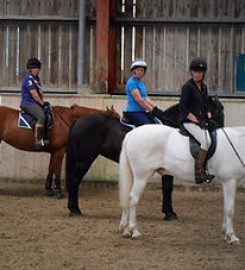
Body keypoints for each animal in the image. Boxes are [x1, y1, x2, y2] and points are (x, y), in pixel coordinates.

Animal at [65, 97, 224, 219]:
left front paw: (168, 212)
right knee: (74, 180)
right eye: (217, 111)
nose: (220, 130)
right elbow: (168, 188)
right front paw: (170, 213)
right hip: (84, 159)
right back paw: (75, 209)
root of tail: (78, 121)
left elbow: (166, 188)